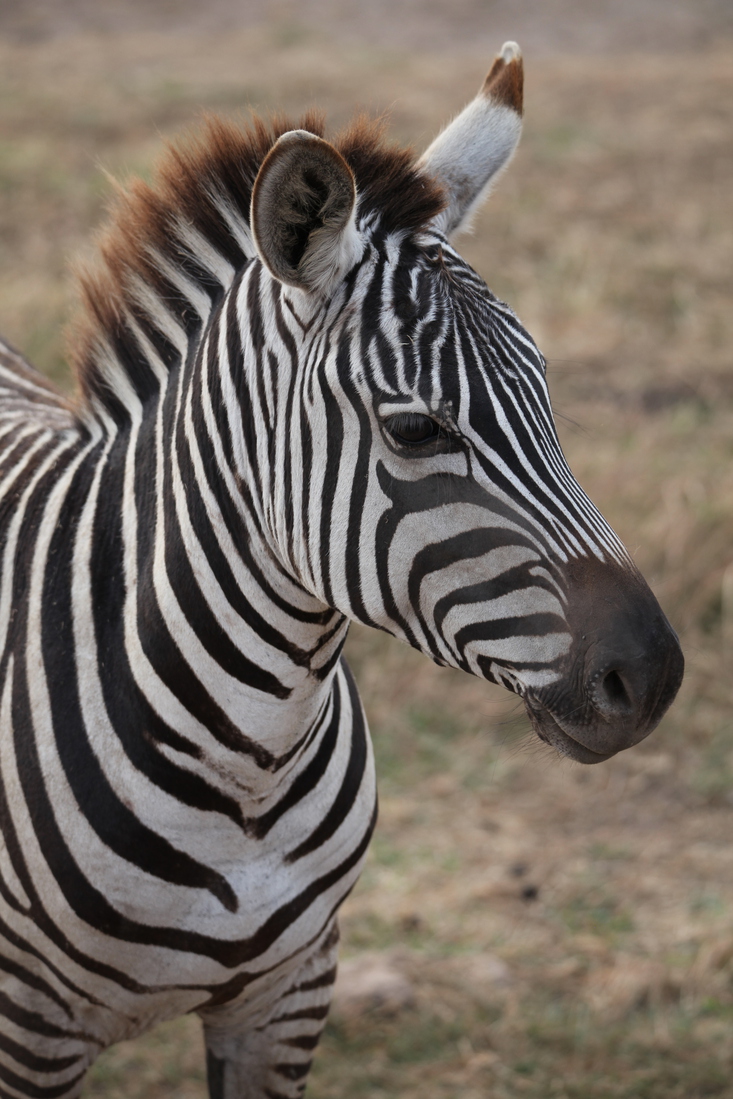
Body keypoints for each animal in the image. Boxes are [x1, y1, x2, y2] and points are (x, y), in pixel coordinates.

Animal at [0, 40, 681, 1099]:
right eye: (415, 429)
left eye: (545, 395)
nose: (648, 677)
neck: (247, 768)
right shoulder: (33, 1029)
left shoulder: (290, 998)